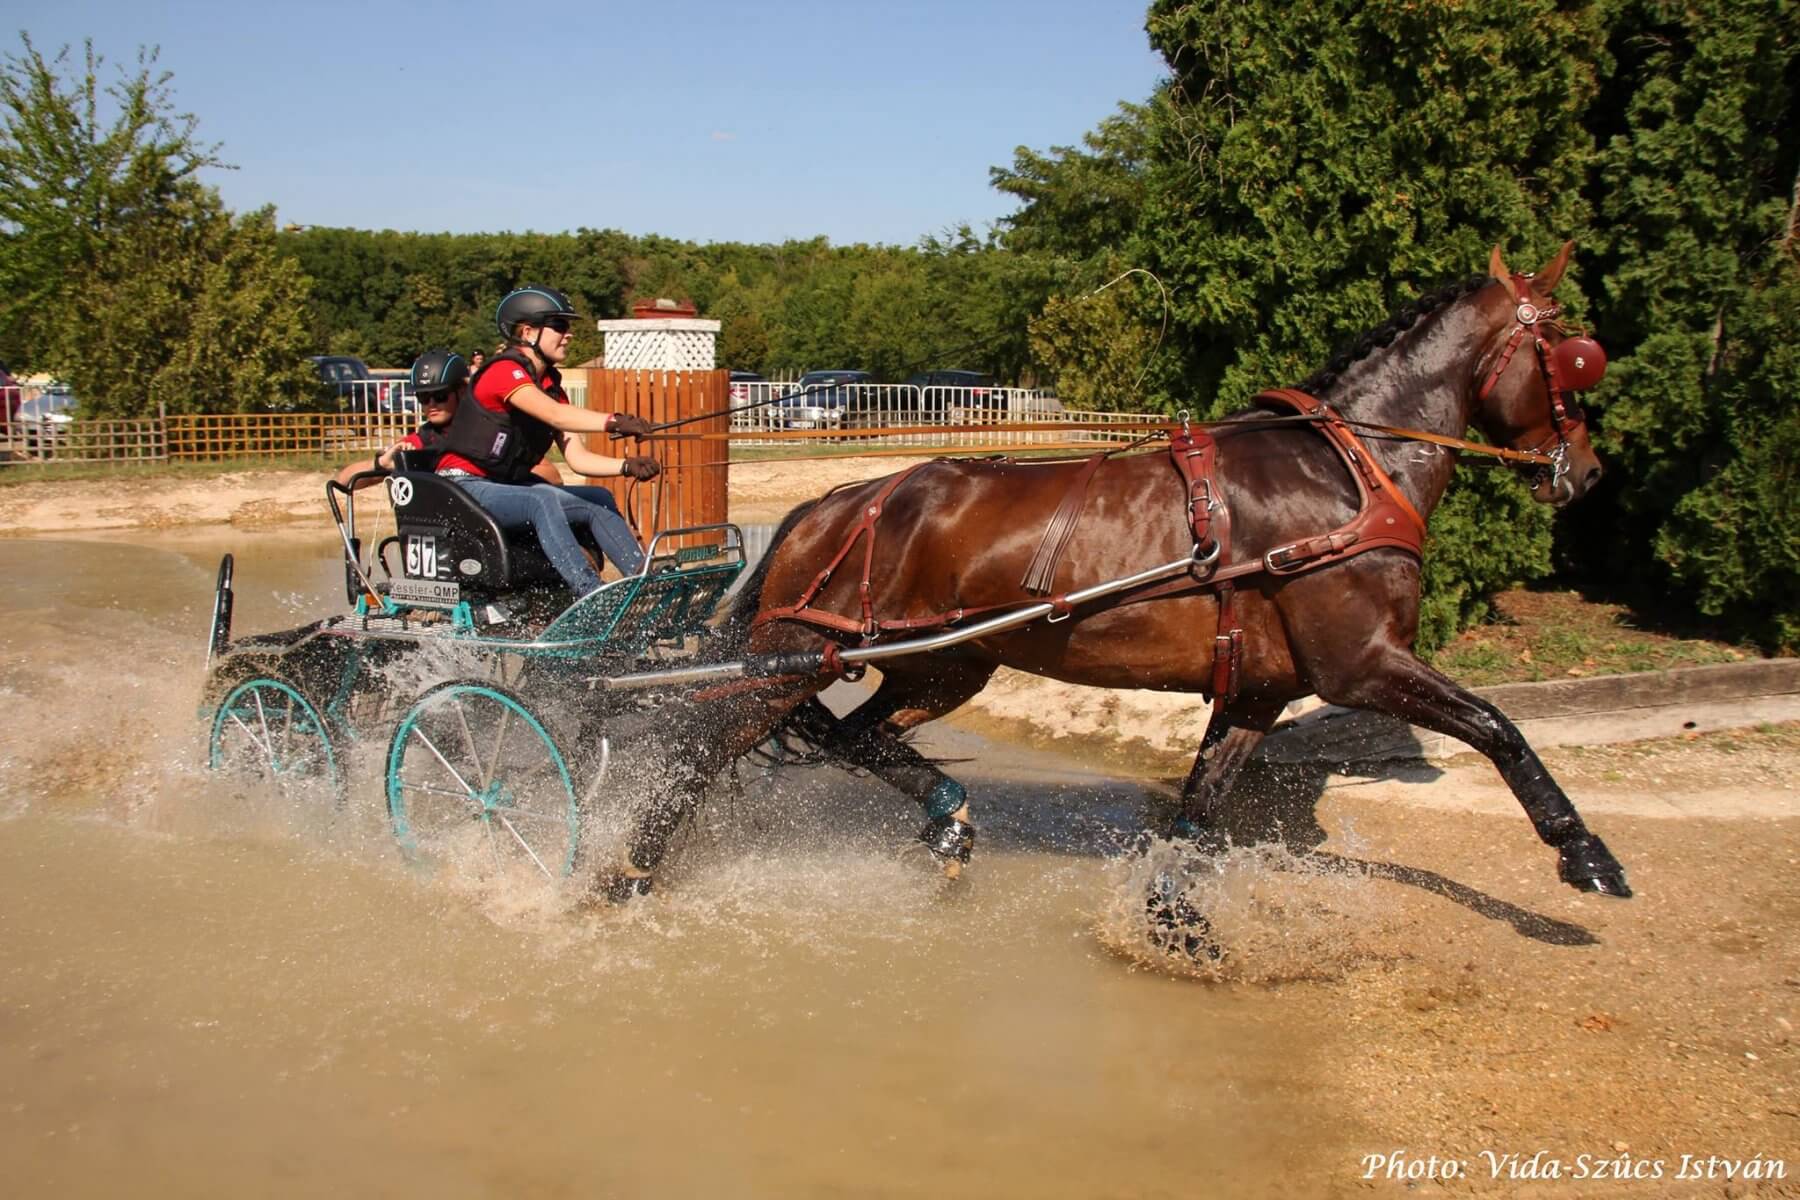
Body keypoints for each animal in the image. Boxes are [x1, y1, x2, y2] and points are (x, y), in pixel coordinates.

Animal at [594, 248, 1634, 913]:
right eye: (1576, 354)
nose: (1585, 472)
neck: (1344, 474)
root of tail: (834, 502)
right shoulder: (1364, 664)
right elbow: (1498, 728)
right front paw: (1583, 852)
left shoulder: (1257, 690)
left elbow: (1201, 809)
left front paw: (1172, 917)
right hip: (795, 660)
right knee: (702, 750)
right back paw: (624, 874)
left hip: (944, 664)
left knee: (857, 735)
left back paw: (946, 819)